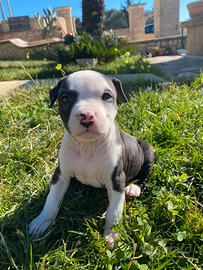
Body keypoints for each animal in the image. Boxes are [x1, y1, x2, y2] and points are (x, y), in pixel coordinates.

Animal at [29, 70, 154, 244]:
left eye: (107, 96)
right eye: (64, 98)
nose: (86, 115)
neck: (87, 146)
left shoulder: (117, 179)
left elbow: (114, 211)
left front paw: (112, 234)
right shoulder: (60, 174)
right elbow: (51, 200)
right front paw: (41, 223)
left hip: (148, 152)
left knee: (143, 177)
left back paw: (133, 188)